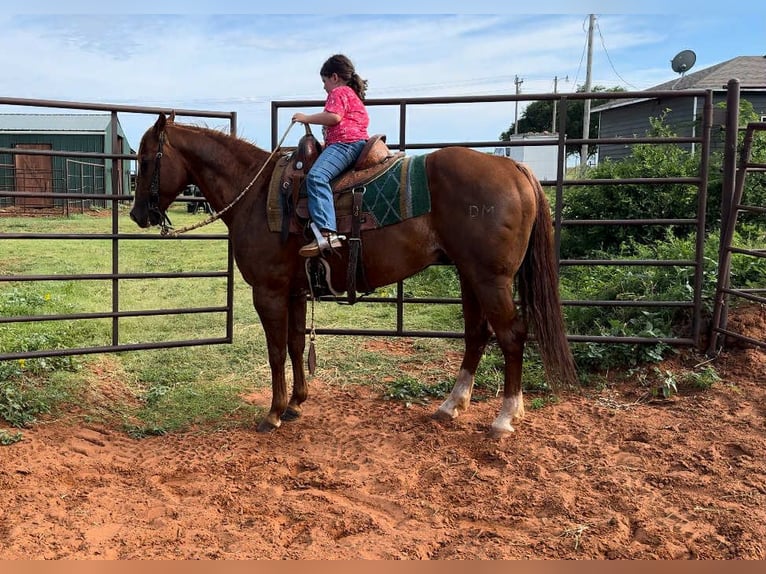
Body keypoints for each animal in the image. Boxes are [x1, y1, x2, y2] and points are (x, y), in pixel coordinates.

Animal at [129, 113, 577, 437]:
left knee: (512, 336)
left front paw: (273, 413)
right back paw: (452, 405)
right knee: (477, 334)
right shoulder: (295, 291)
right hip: (470, 277)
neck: (255, 195)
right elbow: (295, 345)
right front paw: (296, 403)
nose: (136, 215)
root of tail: (514, 167)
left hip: (490, 279)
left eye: (147, 160)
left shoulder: (268, 291)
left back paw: (504, 418)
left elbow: (275, 351)